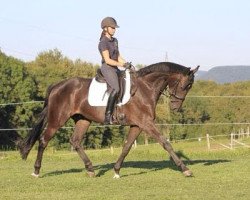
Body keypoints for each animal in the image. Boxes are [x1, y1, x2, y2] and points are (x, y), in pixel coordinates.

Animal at [18, 61, 199, 178]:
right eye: (186, 86)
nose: (175, 108)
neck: (144, 89)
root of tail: (57, 86)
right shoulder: (146, 123)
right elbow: (165, 143)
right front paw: (185, 169)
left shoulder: (137, 125)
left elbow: (126, 147)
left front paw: (117, 171)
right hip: (57, 119)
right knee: (43, 140)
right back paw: (36, 171)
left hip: (83, 119)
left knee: (75, 141)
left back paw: (90, 169)